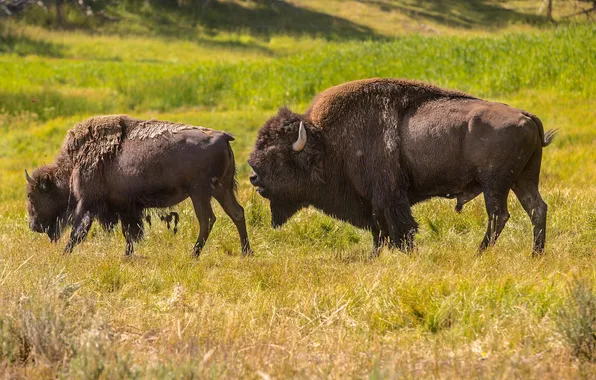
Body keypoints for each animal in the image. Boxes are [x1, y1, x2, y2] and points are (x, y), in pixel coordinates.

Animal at [26, 114, 250, 256]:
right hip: (221, 189)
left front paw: (64, 254)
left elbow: (77, 232)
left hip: (200, 192)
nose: (33, 225)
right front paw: (127, 255)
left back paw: (193, 254)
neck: (75, 162)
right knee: (236, 212)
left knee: (207, 219)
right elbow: (129, 233)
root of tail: (222, 136)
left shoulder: (87, 202)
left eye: (32, 196)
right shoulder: (125, 206)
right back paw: (246, 252)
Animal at [249, 78, 556, 255]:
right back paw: (535, 254)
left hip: (495, 184)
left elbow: (400, 229)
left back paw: (479, 253)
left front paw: (405, 253)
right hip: (522, 180)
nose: (253, 177)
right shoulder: (373, 202)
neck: (325, 140)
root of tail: (526, 116)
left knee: (499, 215)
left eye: (277, 156)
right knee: (536, 209)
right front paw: (376, 256)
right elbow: (379, 233)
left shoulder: (388, 198)